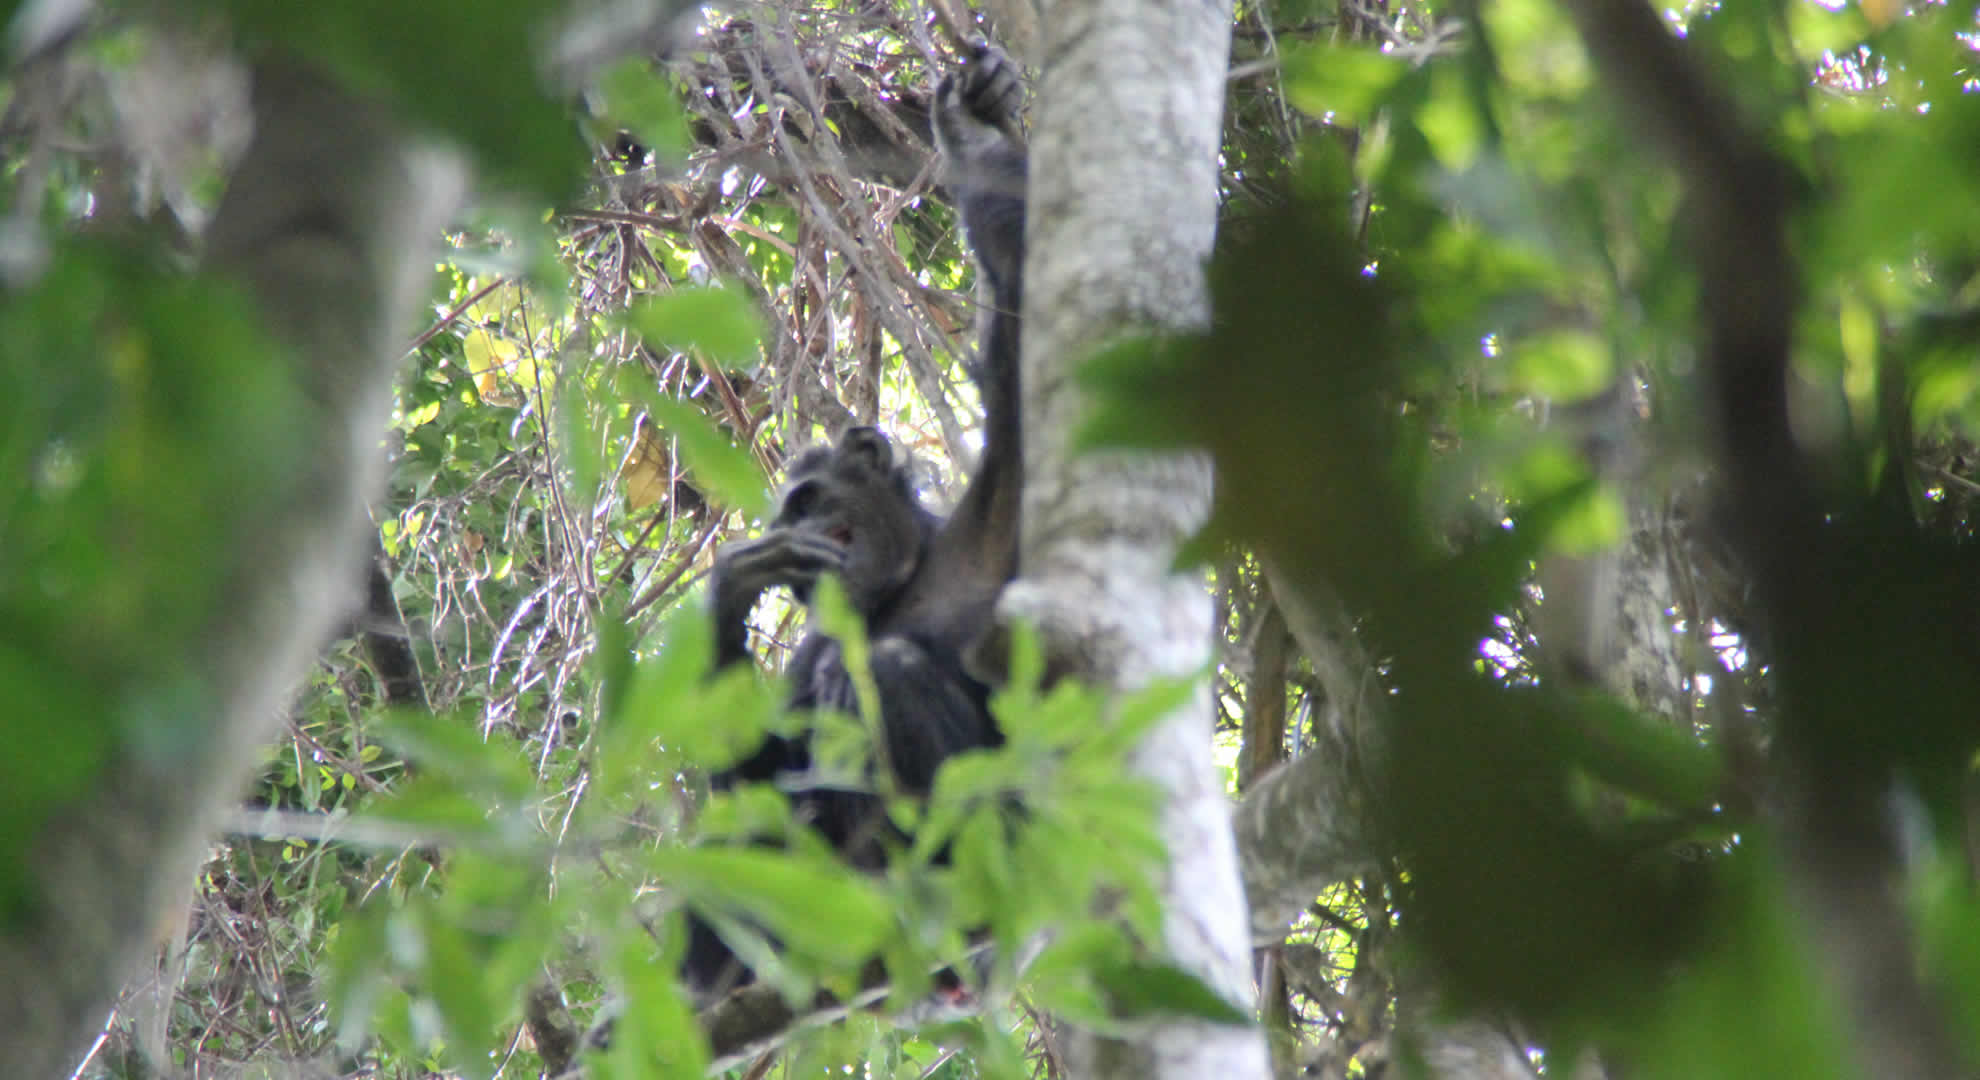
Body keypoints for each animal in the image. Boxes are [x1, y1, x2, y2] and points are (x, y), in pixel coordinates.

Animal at [681, 44, 1029, 1002]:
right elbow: (756, 771)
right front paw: (731, 589)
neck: (901, 583)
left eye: (807, 501)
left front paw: (971, 135)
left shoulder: (1005, 497)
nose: (799, 546)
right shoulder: (805, 651)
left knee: (892, 673)